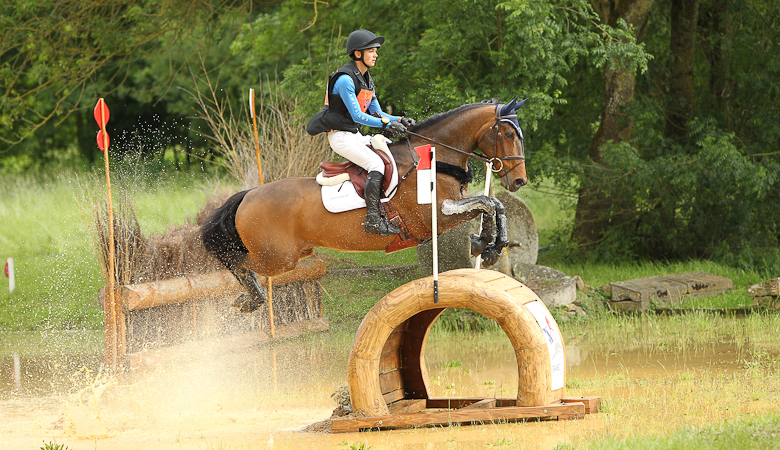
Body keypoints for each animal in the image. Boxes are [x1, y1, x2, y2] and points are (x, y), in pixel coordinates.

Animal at [204, 96, 528, 312]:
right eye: (508, 134)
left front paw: (488, 246)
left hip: (289, 253)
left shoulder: (453, 206)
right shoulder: (435, 214)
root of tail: (248, 195)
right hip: (277, 257)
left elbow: (494, 204)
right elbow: (487, 201)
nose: (519, 181)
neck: (437, 157)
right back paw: (252, 297)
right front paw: (485, 244)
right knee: (238, 261)